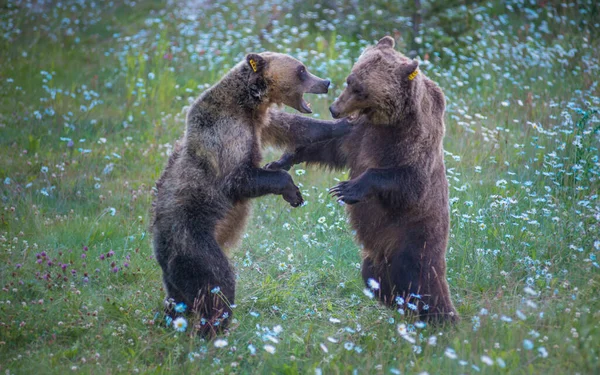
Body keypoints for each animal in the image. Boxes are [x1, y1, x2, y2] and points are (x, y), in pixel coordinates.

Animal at [150, 51, 338, 336]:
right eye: (302, 70)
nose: (325, 82)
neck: (249, 106)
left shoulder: (263, 123)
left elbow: (296, 127)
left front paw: (343, 124)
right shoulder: (226, 137)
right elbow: (240, 179)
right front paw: (293, 192)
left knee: (177, 299)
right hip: (192, 240)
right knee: (217, 282)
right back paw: (214, 329)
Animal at [268, 36, 460, 324]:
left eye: (361, 89)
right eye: (350, 80)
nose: (334, 109)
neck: (390, 121)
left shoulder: (413, 143)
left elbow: (405, 179)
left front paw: (345, 189)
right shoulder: (359, 134)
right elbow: (330, 146)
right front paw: (280, 160)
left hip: (416, 237)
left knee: (422, 279)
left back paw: (442, 316)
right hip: (377, 256)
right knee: (375, 276)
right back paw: (393, 300)